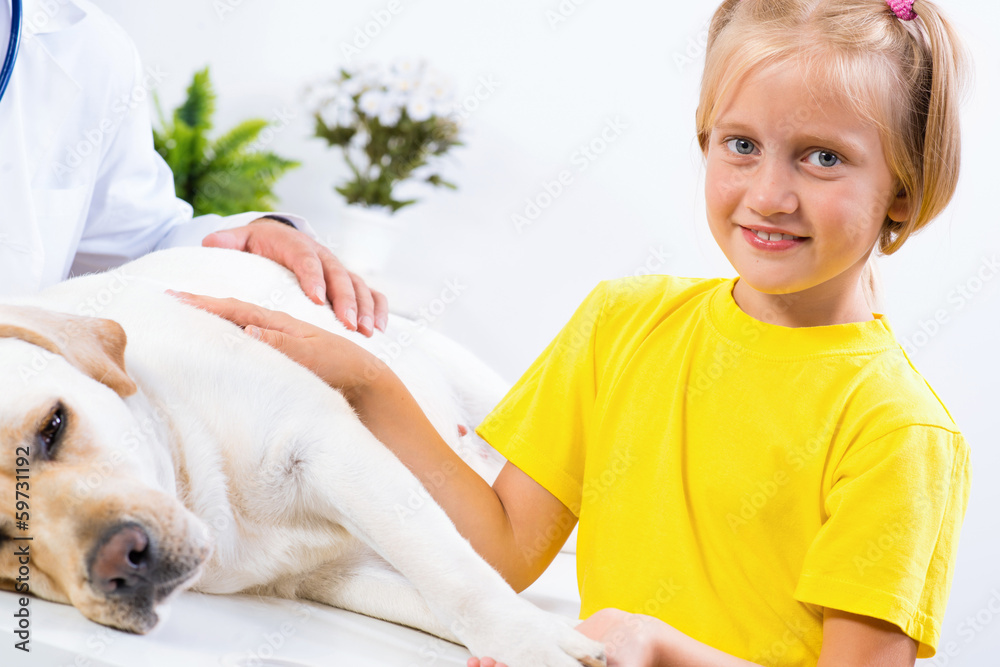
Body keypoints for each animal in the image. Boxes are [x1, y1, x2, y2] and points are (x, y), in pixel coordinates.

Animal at [0, 249, 604, 667]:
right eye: (8, 542)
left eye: (54, 425)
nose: (121, 562)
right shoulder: (331, 575)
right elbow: (435, 595)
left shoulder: (325, 444)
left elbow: (457, 579)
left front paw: (533, 644)